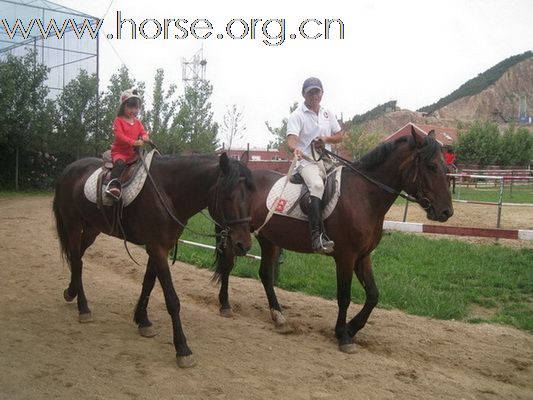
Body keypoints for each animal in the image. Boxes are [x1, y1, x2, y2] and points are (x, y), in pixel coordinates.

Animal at [51, 151, 254, 368]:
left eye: (250, 195)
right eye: (228, 196)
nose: (244, 245)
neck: (169, 192)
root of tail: (68, 169)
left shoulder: (158, 248)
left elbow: (148, 283)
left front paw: (143, 320)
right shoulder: (157, 249)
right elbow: (172, 300)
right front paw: (182, 349)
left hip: (92, 228)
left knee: (78, 259)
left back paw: (71, 292)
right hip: (72, 225)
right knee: (76, 260)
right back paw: (83, 308)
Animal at [213, 128, 454, 354]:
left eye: (446, 167)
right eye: (431, 166)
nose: (446, 212)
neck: (364, 196)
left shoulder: (363, 256)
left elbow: (373, 295)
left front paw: (352, 328)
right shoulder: (346, 257)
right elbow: (344, 296)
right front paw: (343, 335)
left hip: (268, 238)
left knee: (265, 275)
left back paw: (279, 317)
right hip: (236, 235)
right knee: (228, 264)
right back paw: (225, 304)